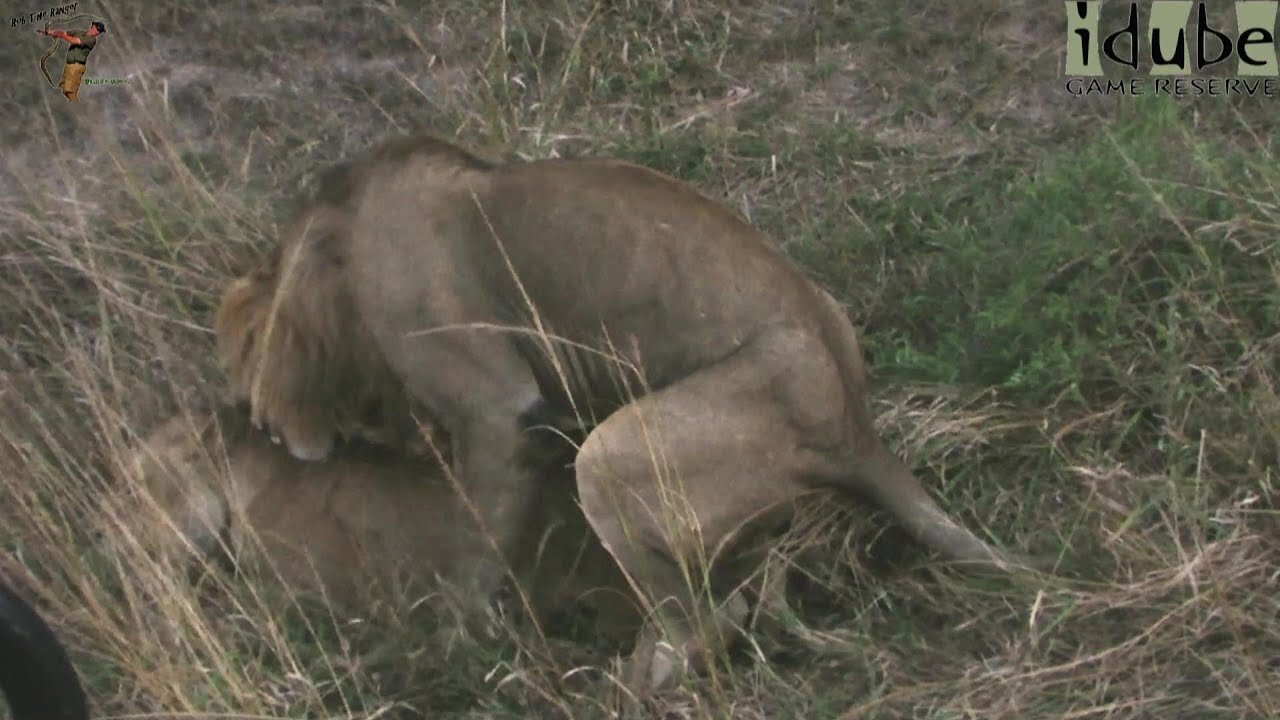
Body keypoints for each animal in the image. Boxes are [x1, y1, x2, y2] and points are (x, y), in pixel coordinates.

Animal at [217, 133, 1029, 691]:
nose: (256, 425)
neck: (338, 239)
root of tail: (857, 429)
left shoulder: (496, 408)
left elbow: (476, 542)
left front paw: (460, 644)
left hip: (616, 456)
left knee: (704, 621)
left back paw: (625, 686)